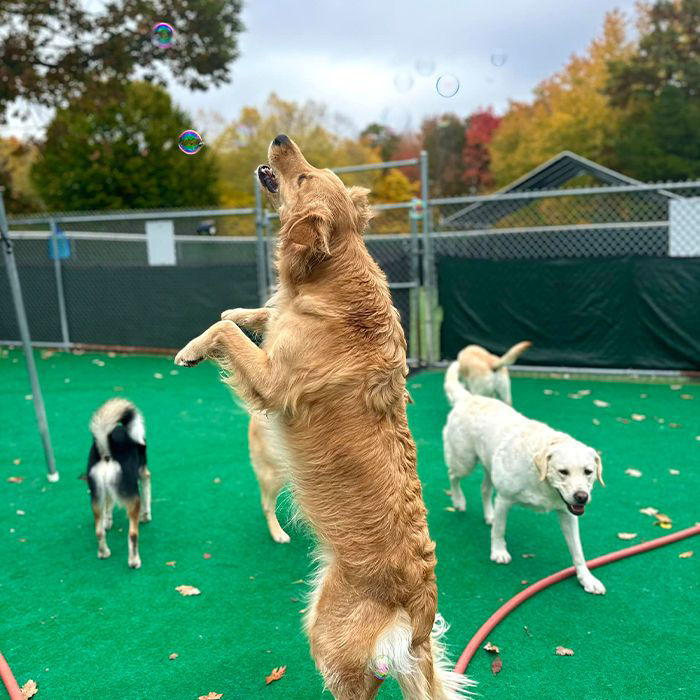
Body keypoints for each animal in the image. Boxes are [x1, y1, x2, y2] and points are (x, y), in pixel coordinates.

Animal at [446, 360, 604, 596]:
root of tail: (469, 398)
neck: (541, 480)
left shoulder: (568, 514)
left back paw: (489, 515)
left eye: (588, 472)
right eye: (563, 471)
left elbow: (578, 551)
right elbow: (500, 531)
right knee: (453, 477)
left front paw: (586, 578)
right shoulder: (505, 499)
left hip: (489, 465)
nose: (581, 497)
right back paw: (458, 501)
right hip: (464, 461)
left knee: (484, 489)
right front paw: (498, 552)